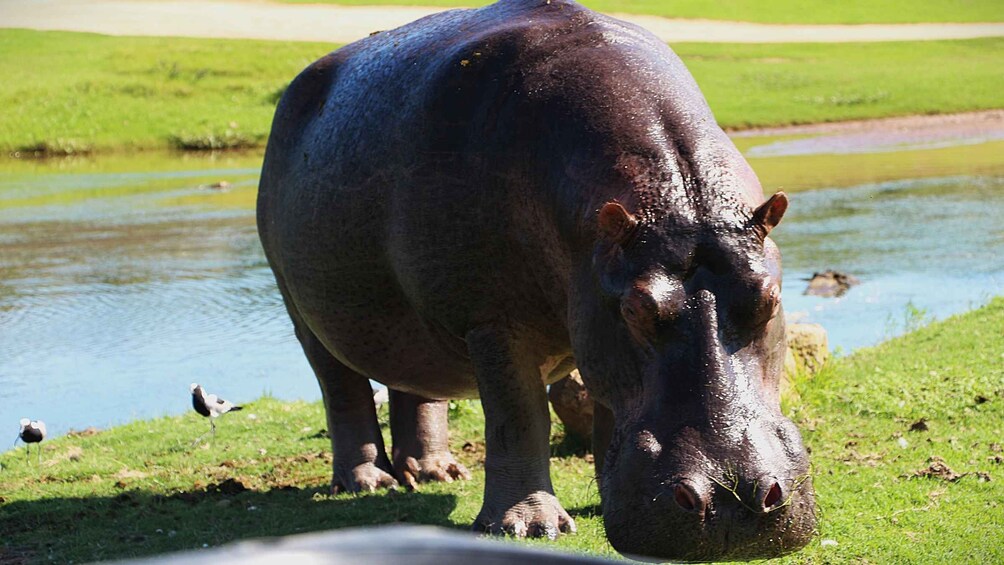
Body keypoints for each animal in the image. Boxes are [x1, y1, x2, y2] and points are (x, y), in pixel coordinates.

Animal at [257, 0, 815, 560]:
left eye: (770, 298)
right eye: (635, 308)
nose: (730, 500)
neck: (672, 197)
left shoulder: (592, 321)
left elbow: (606, 417)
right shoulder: (493, 319)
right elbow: (518, 415)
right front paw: (526, 526)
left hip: (407, 321)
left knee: (414, 381)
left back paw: (438, 473)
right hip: (301, 306)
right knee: (341, 387)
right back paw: (369, 481)